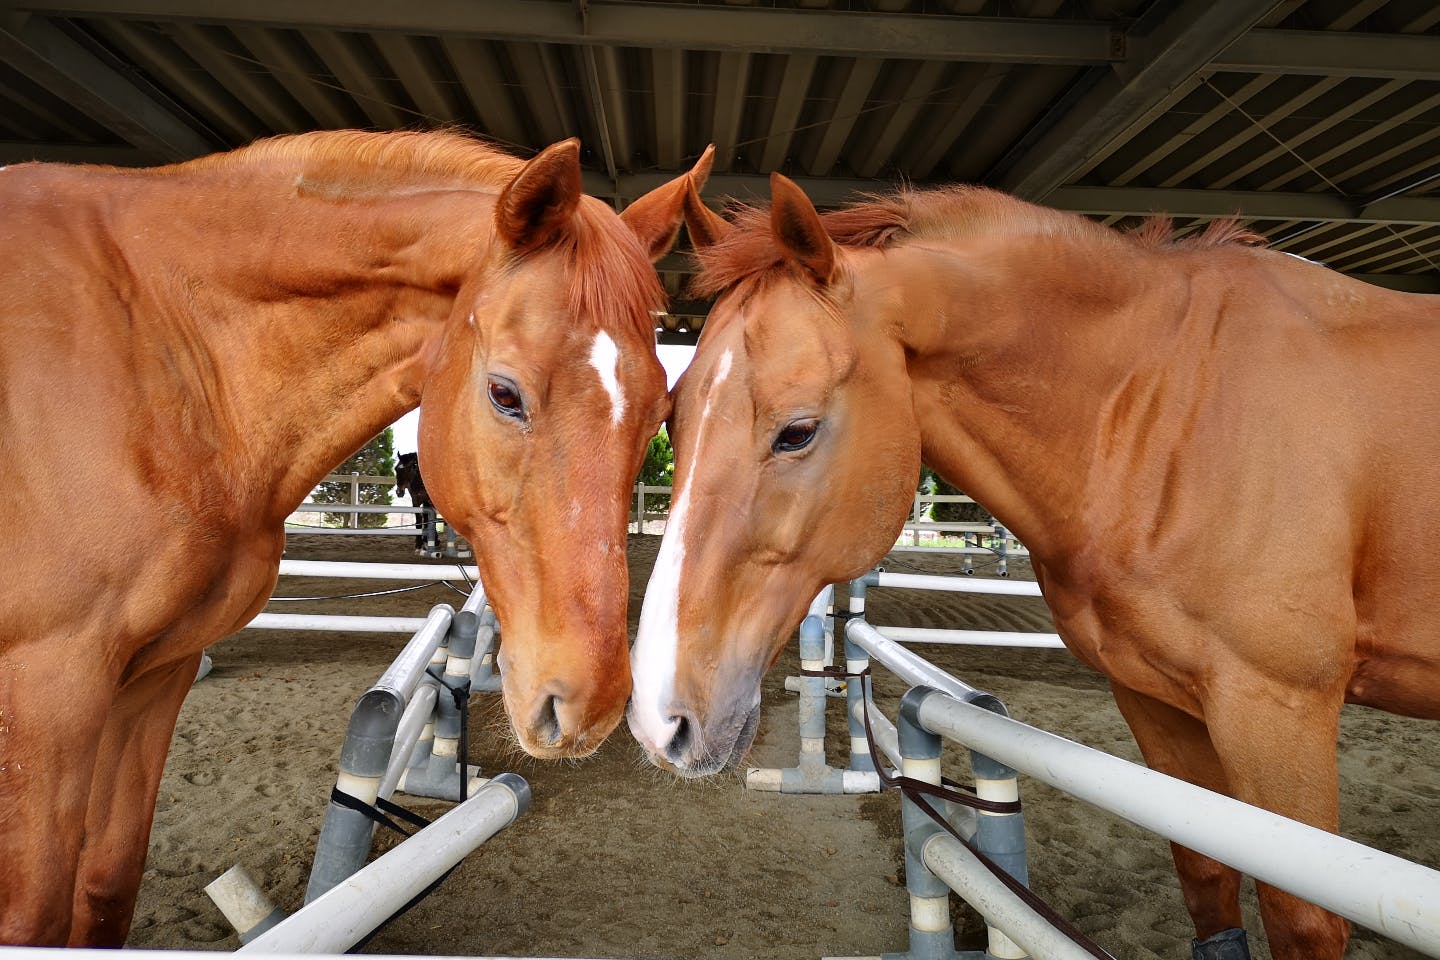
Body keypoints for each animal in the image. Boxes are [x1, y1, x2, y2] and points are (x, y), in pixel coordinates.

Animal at [0, 129, 708, 944]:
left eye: (659, 410)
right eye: (504, 393)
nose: (589, 705)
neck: (161, 353)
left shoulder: (155, 676)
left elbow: (106, 887)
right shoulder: (49, 693)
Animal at [636, 174, 1440, 960]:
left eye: (797, 432)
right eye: (674, 416)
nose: (656, 719)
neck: (1162, 404)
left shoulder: (1277, 710)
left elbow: (1302, 921)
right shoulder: (1156, 700)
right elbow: (1205, 877)